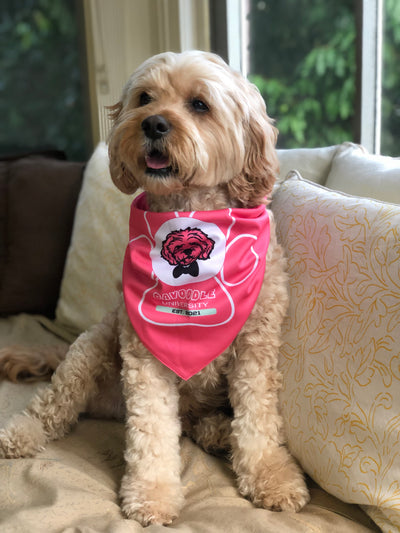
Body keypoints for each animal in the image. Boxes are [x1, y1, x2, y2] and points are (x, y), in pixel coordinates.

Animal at [0, 50, 310, 524]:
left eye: (199, 104)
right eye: (145, 98)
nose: (153, 124)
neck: (188, 211)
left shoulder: (256, 348)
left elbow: (258, 421)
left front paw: (270, 476)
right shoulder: (144, 354)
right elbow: (151, 431)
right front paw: (152, 492)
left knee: (201, 422)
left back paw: (219, 431)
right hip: (90, 349)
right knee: (52, 406)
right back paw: (21, 432)